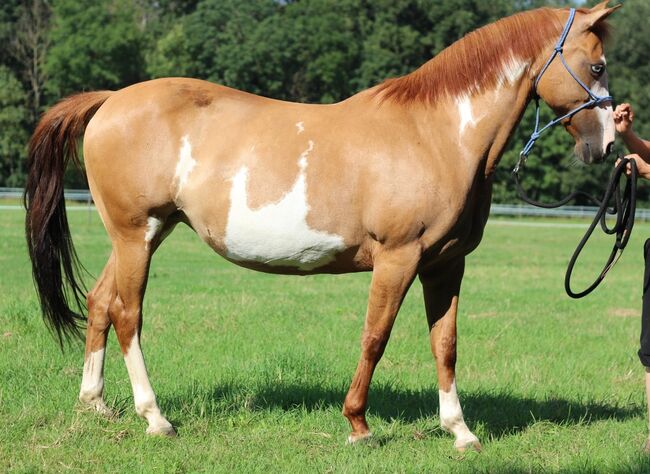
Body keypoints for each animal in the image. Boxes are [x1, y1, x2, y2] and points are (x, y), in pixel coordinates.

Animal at [26, 2, 616, 448]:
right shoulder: (398, 258)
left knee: (100, 303)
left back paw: (96, 405)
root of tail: (109, 101)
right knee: (128, 315)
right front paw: (358, 424)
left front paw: (460, 432)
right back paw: (155, 418)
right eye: (597, 67)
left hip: (142, 235)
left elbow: (445, 343)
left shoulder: (446, 264)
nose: (607, 144)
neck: (436, 134)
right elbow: (375, 336)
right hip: (136, 235)